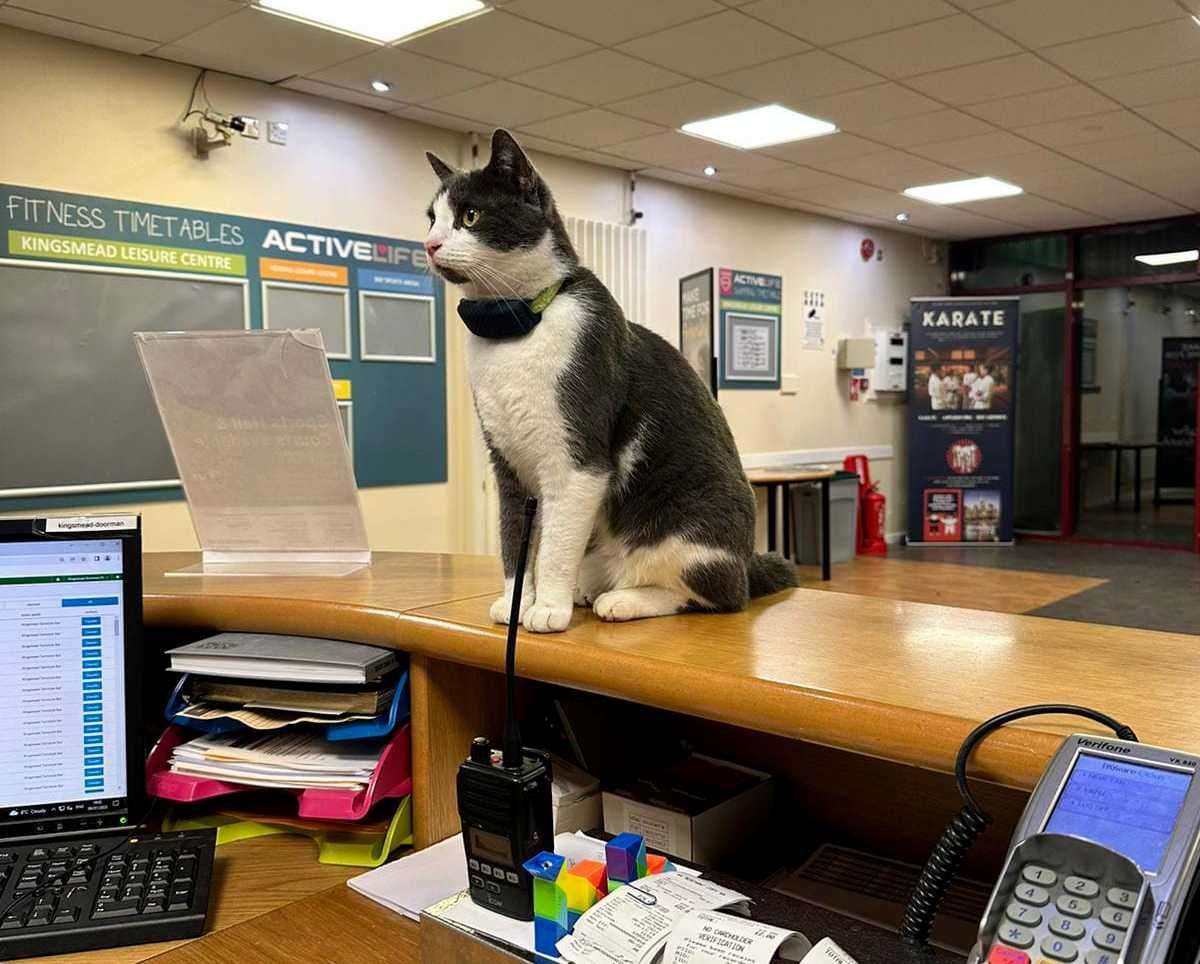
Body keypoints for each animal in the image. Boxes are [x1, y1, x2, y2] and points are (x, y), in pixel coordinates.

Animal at [424, 132, 796, 638]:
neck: (514, 328)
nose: (429, 244)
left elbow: (553, 548)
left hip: (691, 534)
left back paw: (622, 600)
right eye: (432, 217)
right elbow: (513, 538)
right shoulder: (506, 462)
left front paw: (547, 608)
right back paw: (591, 590)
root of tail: (745, 559)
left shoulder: (578, 460)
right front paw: (515, 602)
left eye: (470, 216)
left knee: (718, 594)